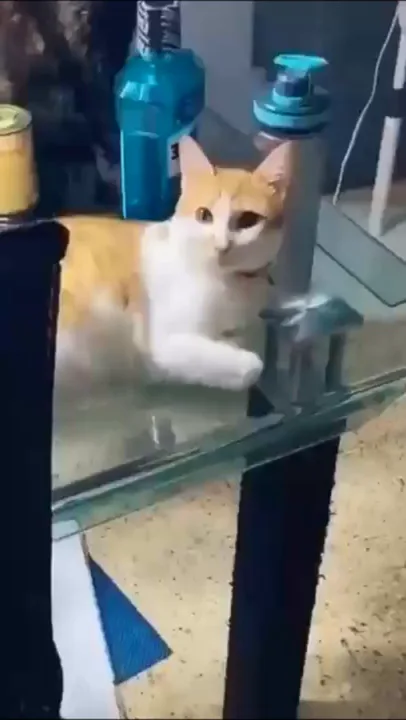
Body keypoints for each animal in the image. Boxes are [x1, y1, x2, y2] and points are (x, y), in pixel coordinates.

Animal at [56, 136, 290, 394]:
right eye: (204, 215)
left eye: (248, 220)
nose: (222, 245)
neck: (227, 283)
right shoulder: (162, 344)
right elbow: (252, 366)